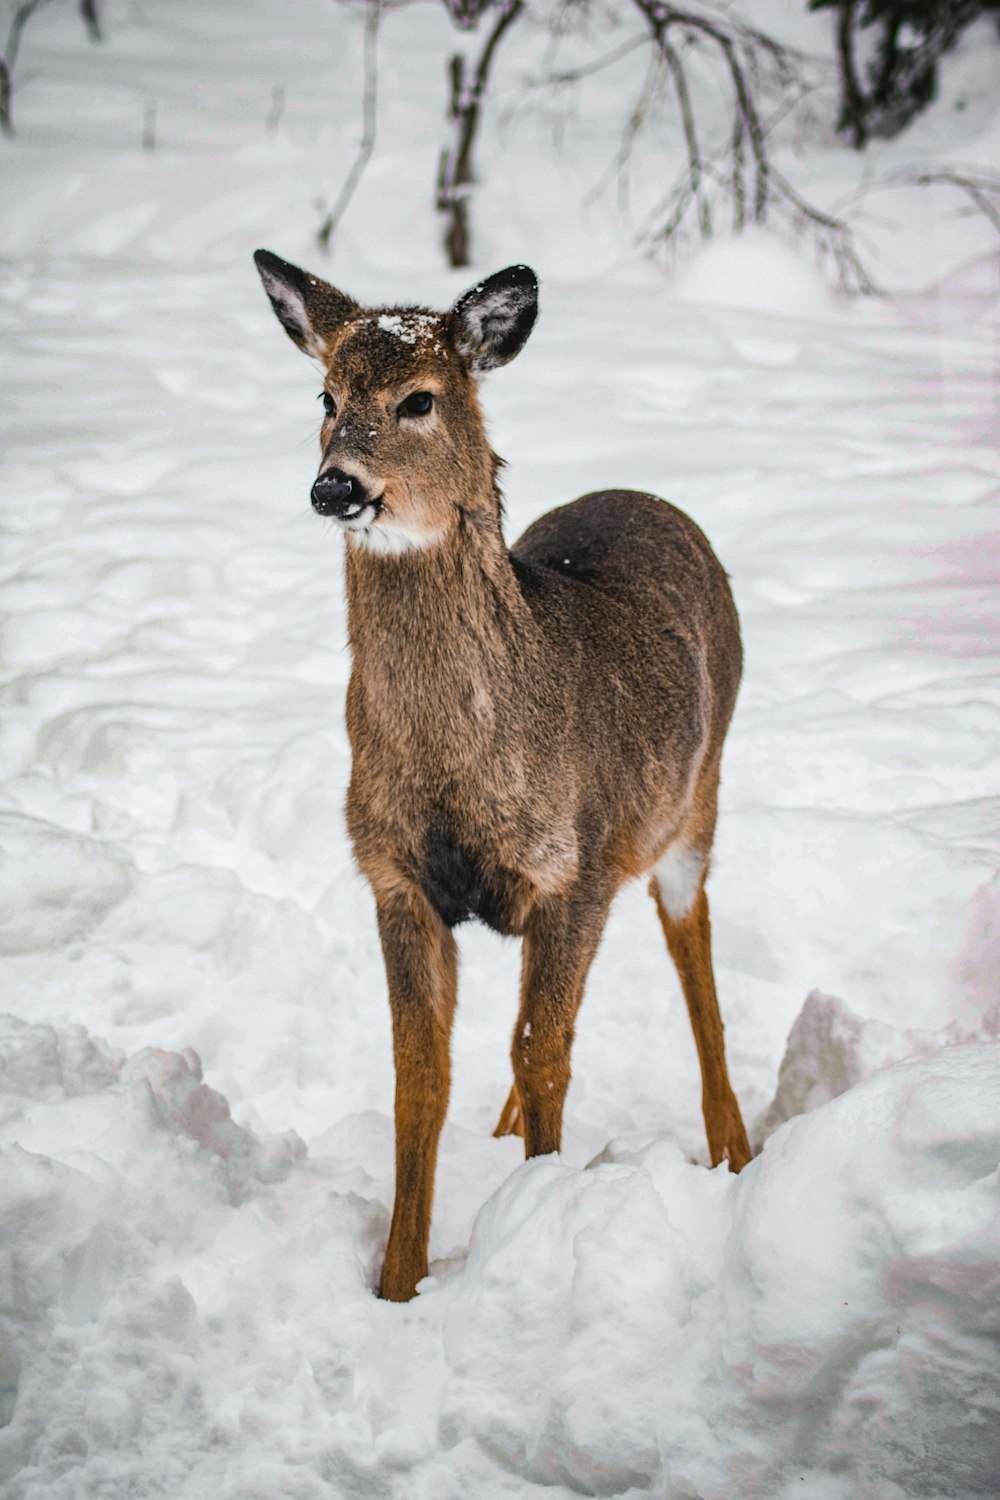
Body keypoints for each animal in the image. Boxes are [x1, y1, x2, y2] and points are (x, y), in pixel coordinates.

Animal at [254, 249, 746, 1302]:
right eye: (325, 394)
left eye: (420, 399)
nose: (334, 487)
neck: (465, 766)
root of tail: (649, 497)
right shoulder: (394, 876)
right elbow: (421, 1074)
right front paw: (396, 1282)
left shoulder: (578, 871)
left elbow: (545, 1054)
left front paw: (537, 1223)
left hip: (696, 799)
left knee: (692, 953)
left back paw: (734, 1146)